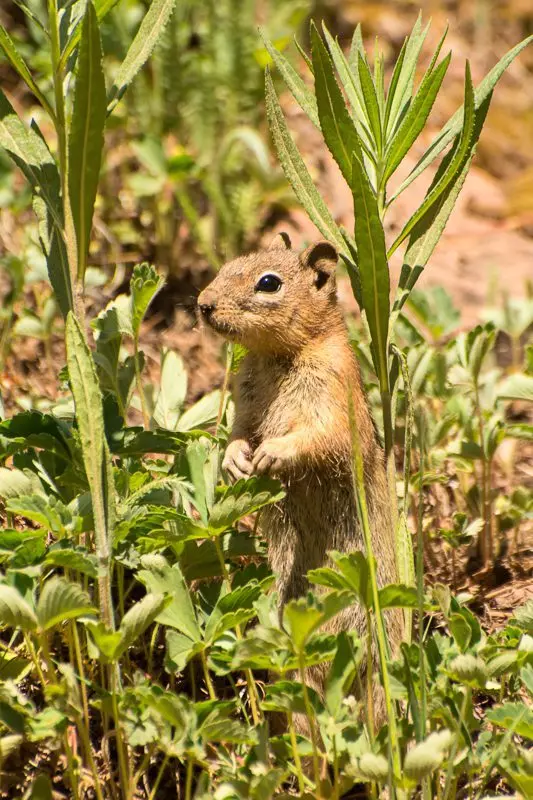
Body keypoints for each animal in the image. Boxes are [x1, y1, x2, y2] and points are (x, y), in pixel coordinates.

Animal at [198, 233, 403, 726]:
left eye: (269, 283)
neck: (279, 357)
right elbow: (238, 432)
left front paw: (274, 453)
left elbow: (319, 439)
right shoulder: (245, 404)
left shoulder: (332, 399)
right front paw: (236, 460)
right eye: (228, 264)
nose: (202, 304)